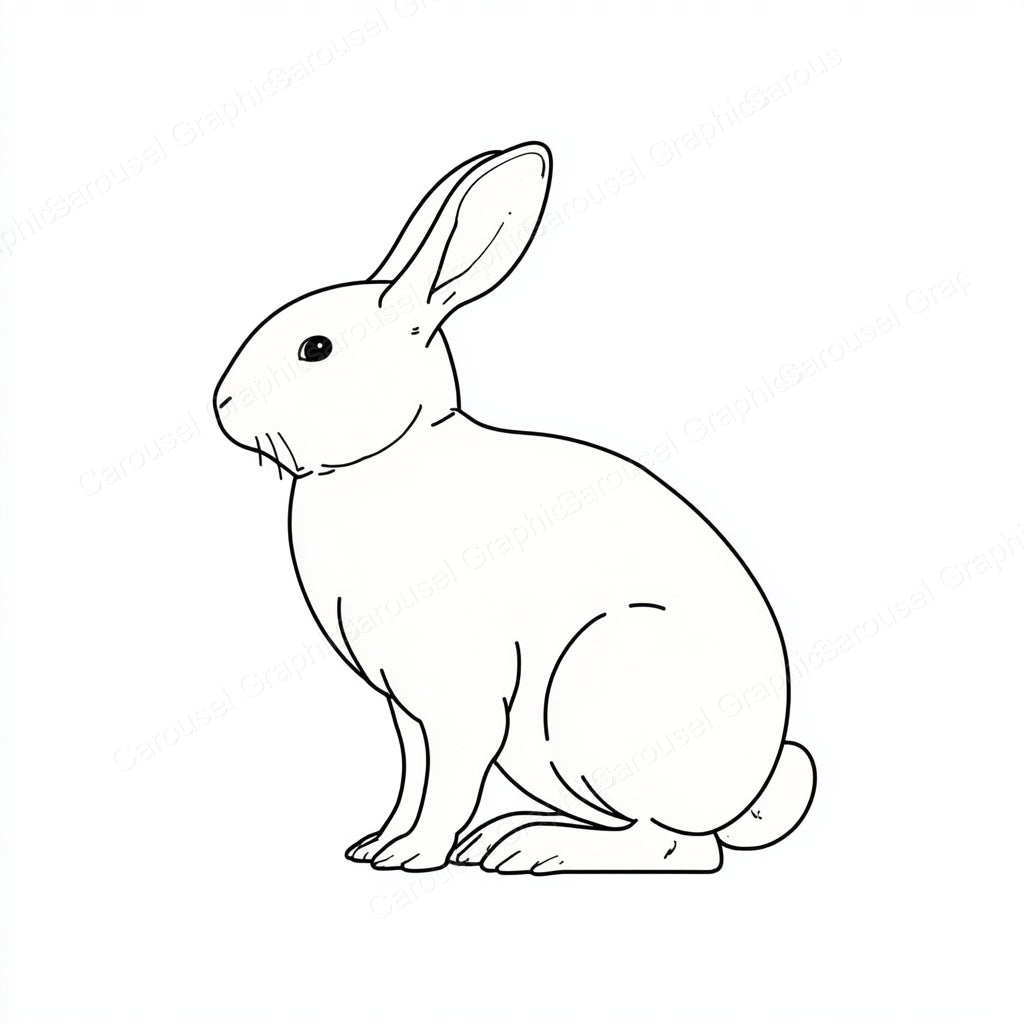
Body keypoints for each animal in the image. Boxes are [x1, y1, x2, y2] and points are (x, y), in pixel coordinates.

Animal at [213, 142, 816, 874]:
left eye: (316, 349)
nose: (222, 406)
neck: (396, 454)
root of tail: (746, 792)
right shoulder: (406, 705)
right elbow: (415, 774)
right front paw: (377, 845)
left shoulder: (458, 690)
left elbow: (449, 777)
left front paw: (415, 856)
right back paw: (505, 836)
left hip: (600, 688)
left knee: (676, 847)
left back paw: (534, 850)